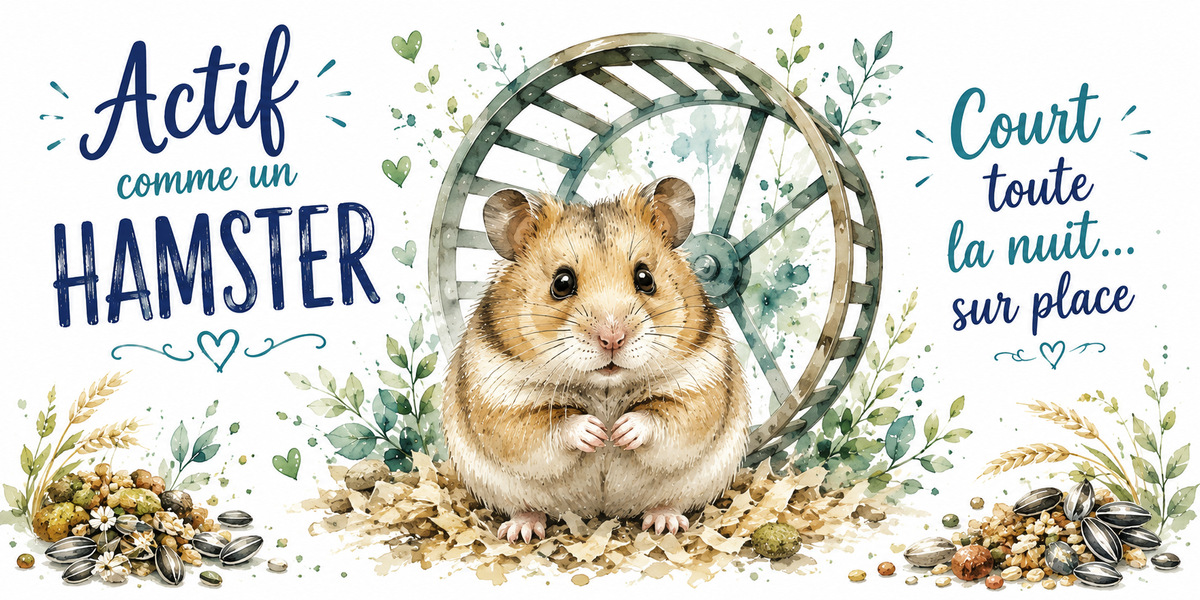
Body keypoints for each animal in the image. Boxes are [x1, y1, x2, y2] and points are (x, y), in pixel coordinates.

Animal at [441, 176, 750, 542]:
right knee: (527, 507)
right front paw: (596, 434)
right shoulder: (501, 401)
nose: (612, 339)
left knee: (670, 502)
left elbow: (668, 419)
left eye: (645, 278)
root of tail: (604, 512)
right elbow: (544, 428)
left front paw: (620, 433)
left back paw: (665, 522)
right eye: (562, 283)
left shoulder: (699, 385)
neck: (605, 386)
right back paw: (521, 530)